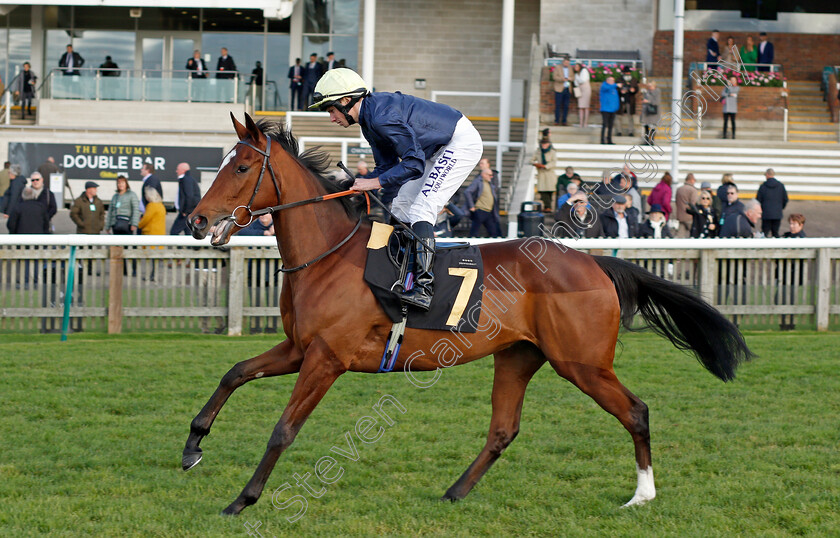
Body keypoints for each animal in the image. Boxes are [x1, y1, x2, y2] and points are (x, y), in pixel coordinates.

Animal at [185, 114, 756, 516]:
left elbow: (283, 429)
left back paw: (641, 496)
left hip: (582, 362)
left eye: (240, 167)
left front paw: (243, 499)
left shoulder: (326, 358)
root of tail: (594, 261)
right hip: (519, 356)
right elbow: (234, 373)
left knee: (635, 412)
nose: (196, 220)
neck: (329, 253)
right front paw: (193, 446)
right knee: (503, 430)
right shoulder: (299, 348)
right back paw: (455, 492)